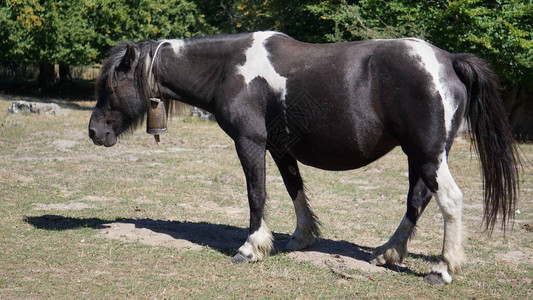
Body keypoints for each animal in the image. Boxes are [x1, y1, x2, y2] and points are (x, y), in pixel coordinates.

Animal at [89, 31, 516, 284]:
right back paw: (388, 253)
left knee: (449, 201)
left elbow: (256, 194)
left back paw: (441, 269)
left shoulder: (250, 142)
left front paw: (251, 247)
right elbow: (294, 188)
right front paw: (300, 237)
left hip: (428, 154)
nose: (95, 132)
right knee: (418, 198)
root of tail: (448, 60)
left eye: (113, 85)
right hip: (422, 156)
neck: (230, 69)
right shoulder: (280, 148)